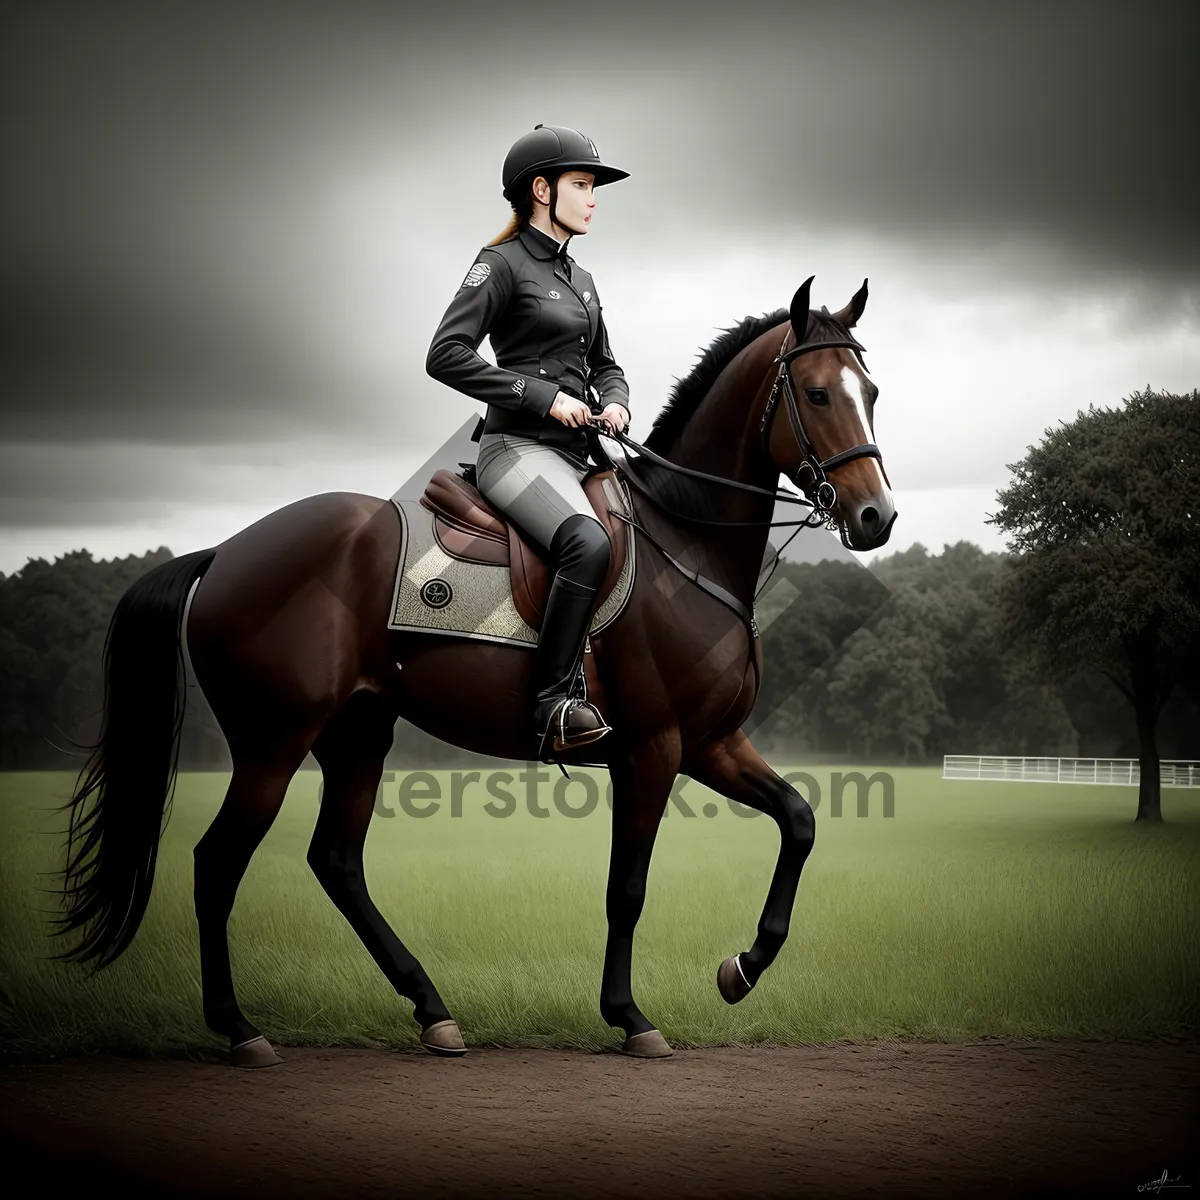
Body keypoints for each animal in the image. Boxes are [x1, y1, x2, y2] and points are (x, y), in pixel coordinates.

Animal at [49, 276, 892, 1065]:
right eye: (817, 393)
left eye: (873, 392)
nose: (876, 517)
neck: (686, 543)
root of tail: (226, 551)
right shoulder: (652, 749)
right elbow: (627, 889)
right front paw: (630, 1017)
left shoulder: (711, 743)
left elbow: (800, 821)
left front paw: (741, 969)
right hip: (273, 742)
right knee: (218, 862)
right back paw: (241, 1031)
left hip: (357, 732)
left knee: (336, 863)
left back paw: (432, 1011)